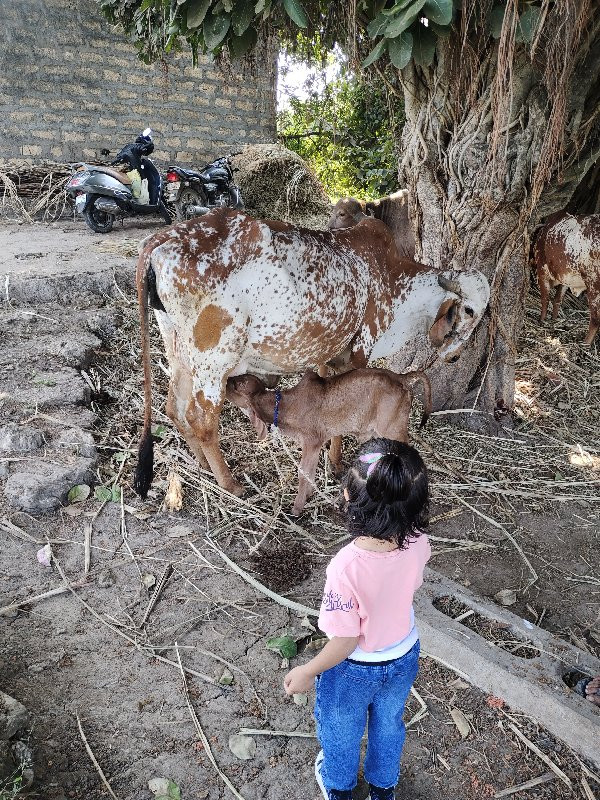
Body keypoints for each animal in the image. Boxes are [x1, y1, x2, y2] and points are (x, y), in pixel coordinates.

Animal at [226, 368, 432, 516]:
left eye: (237, 384)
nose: (225, 380)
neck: (285, 406)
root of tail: (403, 378)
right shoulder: (315, 445)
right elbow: (310, 472)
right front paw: (308, 495)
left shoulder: (311, 441)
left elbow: (303, 473)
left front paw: (296, 508)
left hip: (393, 427)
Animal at [532, 211, 596, 346]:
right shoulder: (565, 278)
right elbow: (557, 299)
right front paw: (554, 319)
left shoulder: (542, 271)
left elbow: (545, 299)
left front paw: (541, 320)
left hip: (593, 284)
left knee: (595, 317)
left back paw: (586, 343)